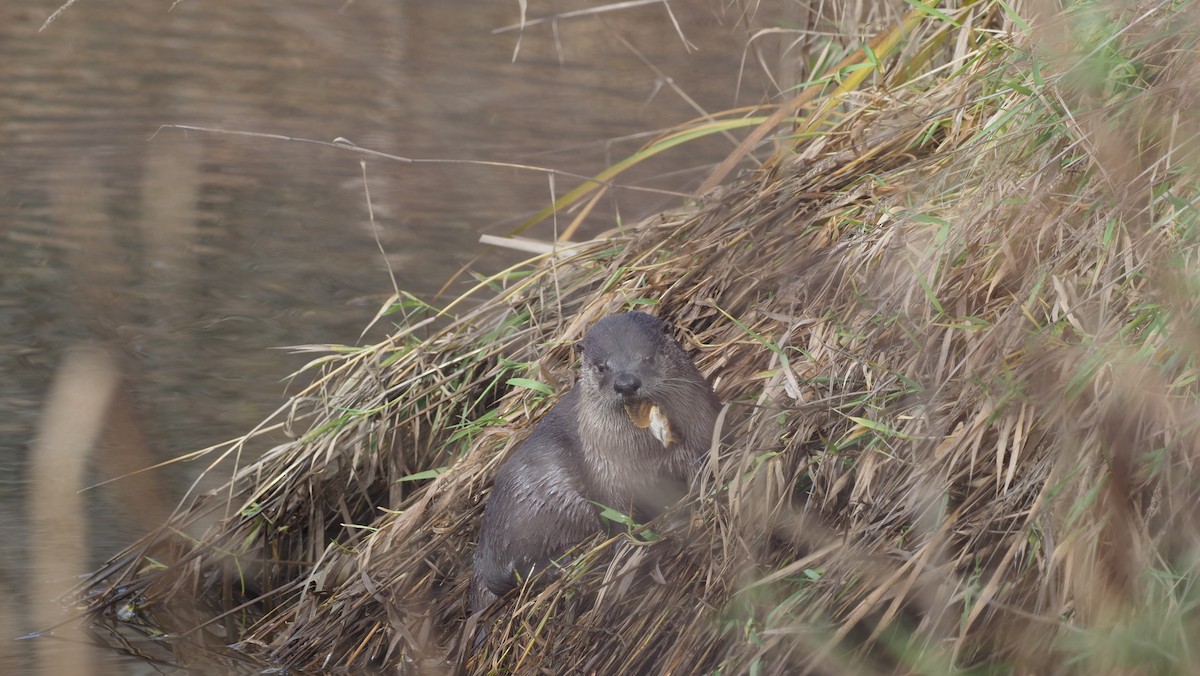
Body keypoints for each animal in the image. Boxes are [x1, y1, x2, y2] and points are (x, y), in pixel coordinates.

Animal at [471, 311, 720, 612]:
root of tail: (483, 550)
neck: (646, 455)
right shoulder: (603, 471)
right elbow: (613, 513)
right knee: (509, 573)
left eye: (648, 358)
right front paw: (626, 547)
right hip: (533, 498)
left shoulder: (701, 427)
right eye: (602, 367)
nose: (626, 383)